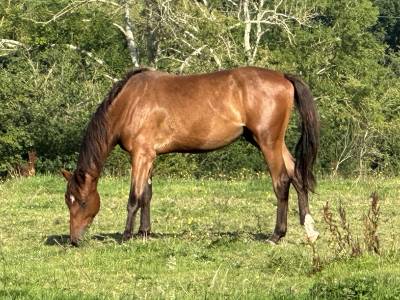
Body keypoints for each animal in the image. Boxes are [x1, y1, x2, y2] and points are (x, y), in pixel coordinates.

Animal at [61, 67, 320, 246]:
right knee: (297, 175)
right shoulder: (150, 156)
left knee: (282, 182)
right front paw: (144, 232)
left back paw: (277, 235)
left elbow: (134, 198)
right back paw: (310, 230)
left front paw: (126, 236)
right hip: (272, 142)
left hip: (268, 143)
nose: (74, 240)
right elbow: (147, 195)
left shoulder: (140, 155)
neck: (129, 103)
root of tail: (283, 77)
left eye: (81, 201)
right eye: (67, 200)